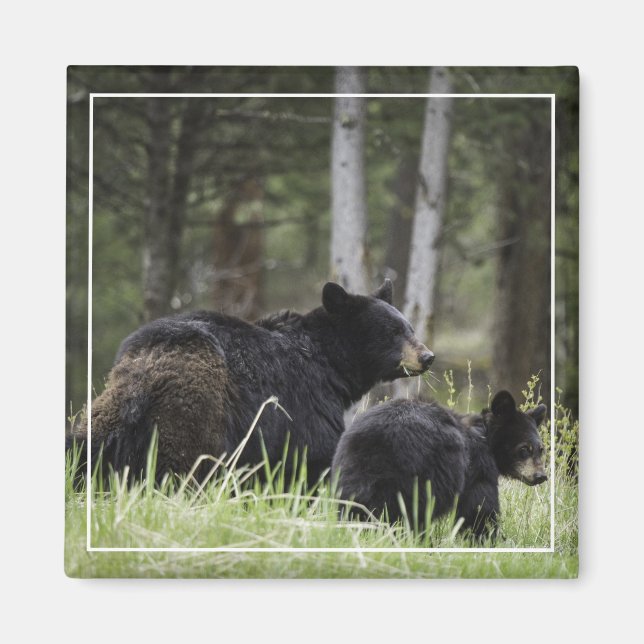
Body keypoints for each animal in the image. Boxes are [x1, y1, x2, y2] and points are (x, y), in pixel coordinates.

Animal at [67, 279, 434, 486]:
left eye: (408, 327)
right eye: (392, 332)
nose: (427, 356)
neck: (330, 365)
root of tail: (142, 379)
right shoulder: (303, 403)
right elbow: (313, 456)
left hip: (107, 418)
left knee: (84, 450)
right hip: (194, 415)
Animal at [331, 390, 548, 540]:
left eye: (541, 449)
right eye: (524, 449)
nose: (541, 476)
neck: (485, 437)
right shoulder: (477, 468)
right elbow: (479, 509)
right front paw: (492, 539)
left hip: (349, 471)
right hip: (417, 476)